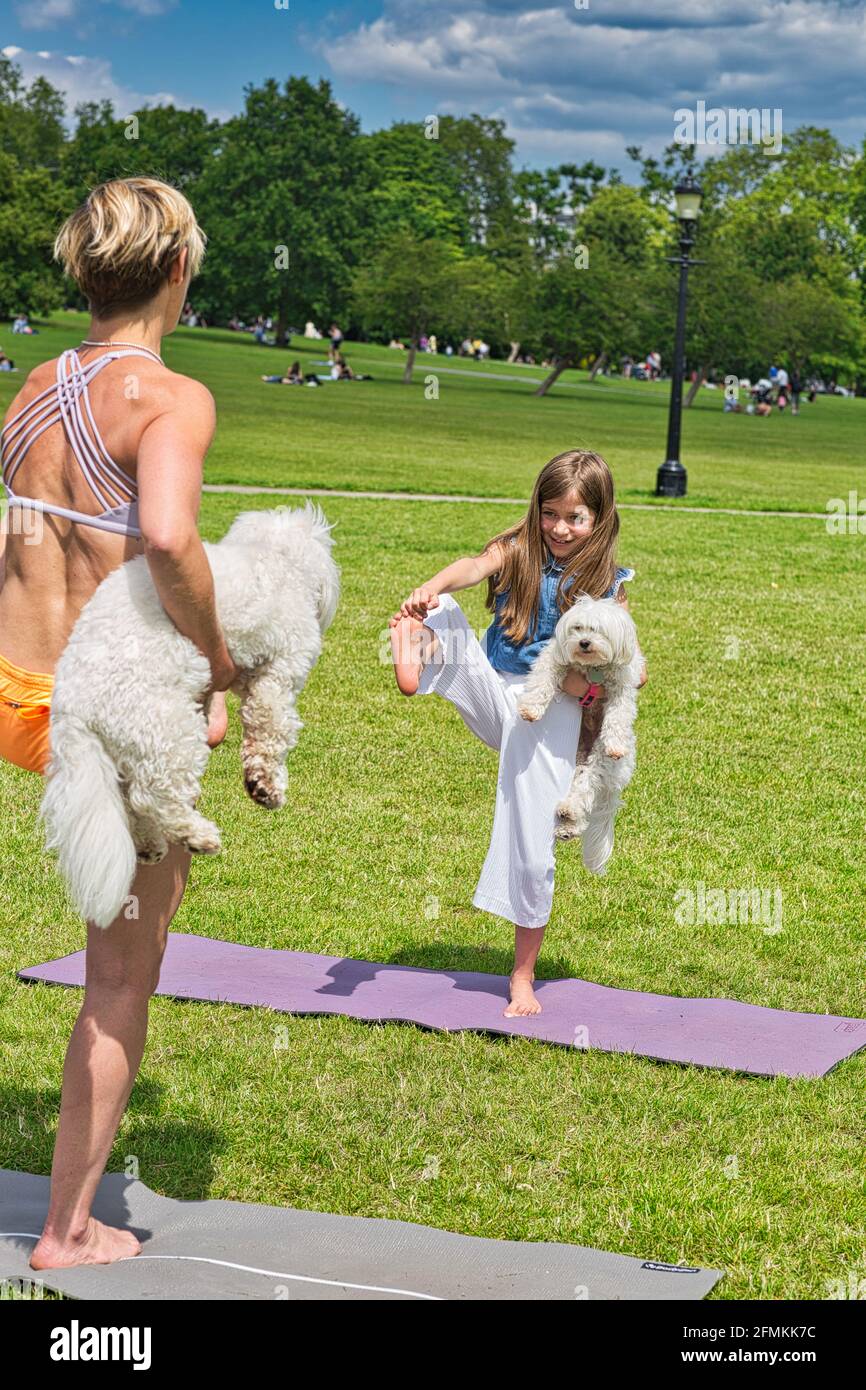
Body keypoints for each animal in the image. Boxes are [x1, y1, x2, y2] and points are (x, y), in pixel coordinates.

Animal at [39, 494, 339, 928]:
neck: (271, 558)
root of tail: (72, 705)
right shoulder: (280, 670)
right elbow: (270, 726)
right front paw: (266, 786)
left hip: (126, 749)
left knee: (132, 803)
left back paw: (149, 844)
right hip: (170, 731)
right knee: (153, 797)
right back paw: (198, 836)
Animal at [514, 592, 644, 872]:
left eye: (599, 630)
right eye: (577, 628)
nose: (584, 642)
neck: (593, 667)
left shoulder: (623, 685)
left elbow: (619, 714)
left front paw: (616, 743)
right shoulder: (554, 657)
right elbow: (542, 679)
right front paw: (531, 708)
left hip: (598, 761)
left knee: (585, 788)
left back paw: (569, 813)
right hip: (576, 758)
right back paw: (567, 825)